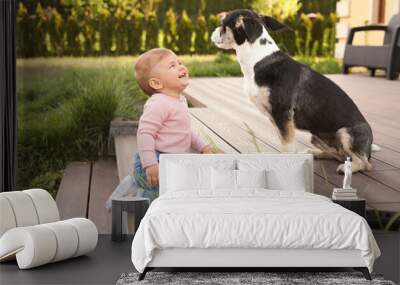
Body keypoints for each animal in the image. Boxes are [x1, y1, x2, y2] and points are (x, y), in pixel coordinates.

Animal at [211, 9, 376, 173]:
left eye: (223, 25)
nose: (213, 31)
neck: (258, 59)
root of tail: (369, 148)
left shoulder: (283, 114)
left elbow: (287, 145)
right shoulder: (277, 119)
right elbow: (283, 141)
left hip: (345, 134)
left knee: (364, 164)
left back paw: (348, 168)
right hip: (315, 137)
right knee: (338, 154)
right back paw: (315, 153)